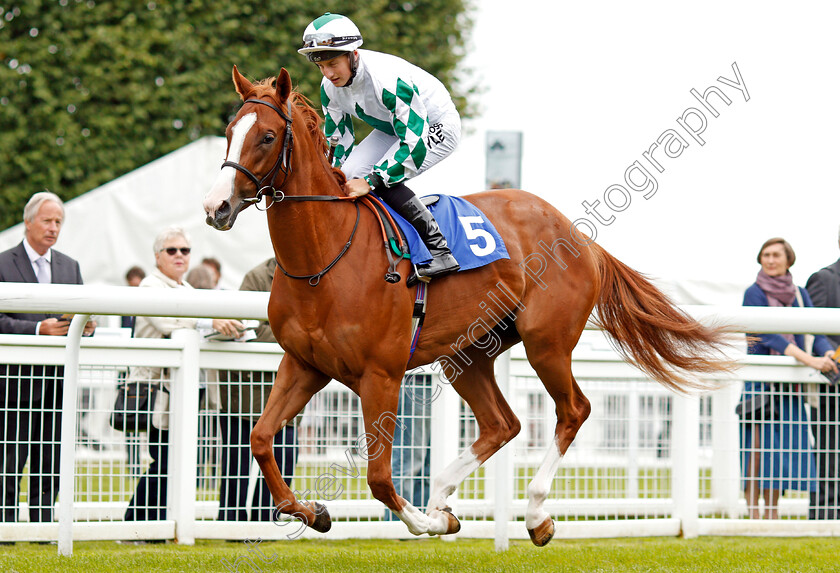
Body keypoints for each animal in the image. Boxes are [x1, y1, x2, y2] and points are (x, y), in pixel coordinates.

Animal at [202, 65, 728, 544]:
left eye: (268, 136)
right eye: (228, 133)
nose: (216, 207)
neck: (325, 258)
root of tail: (579, 236)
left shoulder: (381, 375)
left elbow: (379, 477)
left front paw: (425, 522)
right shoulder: (304, 363)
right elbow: (261, 439)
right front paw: (314, 511)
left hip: (546, 341)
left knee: (573, 410)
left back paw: (533, 514)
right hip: (469, 353)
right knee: (503, 423)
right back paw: (444, 498)